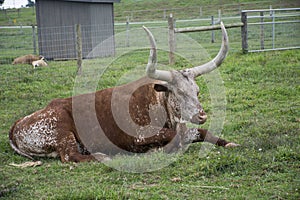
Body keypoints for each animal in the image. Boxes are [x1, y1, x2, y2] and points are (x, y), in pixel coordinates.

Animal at [8, 22, 239, 162]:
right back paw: (103, 156)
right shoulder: (138, 137)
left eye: (197, 91)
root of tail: (15, 126)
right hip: (61, 131)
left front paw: (229, 143)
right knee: (71, 156)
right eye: (178, 93)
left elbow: (202, 132)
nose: (201, 115)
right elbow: (175, 137)